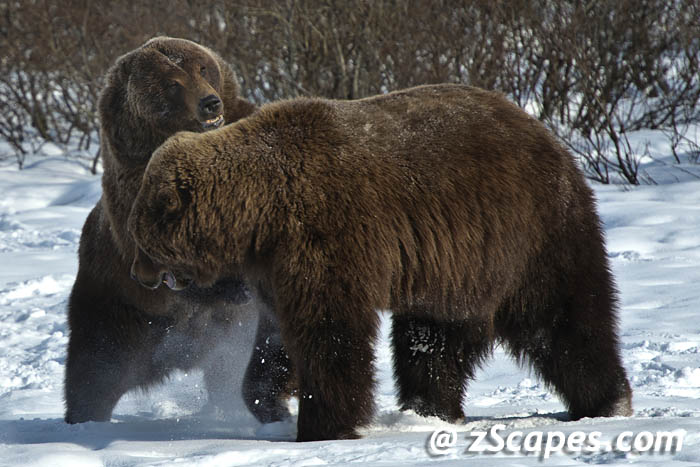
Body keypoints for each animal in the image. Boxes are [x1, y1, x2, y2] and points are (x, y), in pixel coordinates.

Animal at [63, 36, 281, 424]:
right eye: (172, 84)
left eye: (203, 67)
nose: (210, 103)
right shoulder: (136, 182)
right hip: (116, 311)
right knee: (92, 374)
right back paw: (82, 419)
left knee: (225, 375)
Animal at [127, 84, 633, 441]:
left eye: (141, 238)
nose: (138, 274)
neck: (258, 213)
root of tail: (546, 134)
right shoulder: (276, 264)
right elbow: (277, 340)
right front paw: (270, 405)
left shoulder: (324, 234)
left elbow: (330, 331)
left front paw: (323, 424)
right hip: (454, 269)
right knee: (433, 340)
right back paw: (430, 410)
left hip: (528, 232)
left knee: (563, 317)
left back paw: (607, 401)